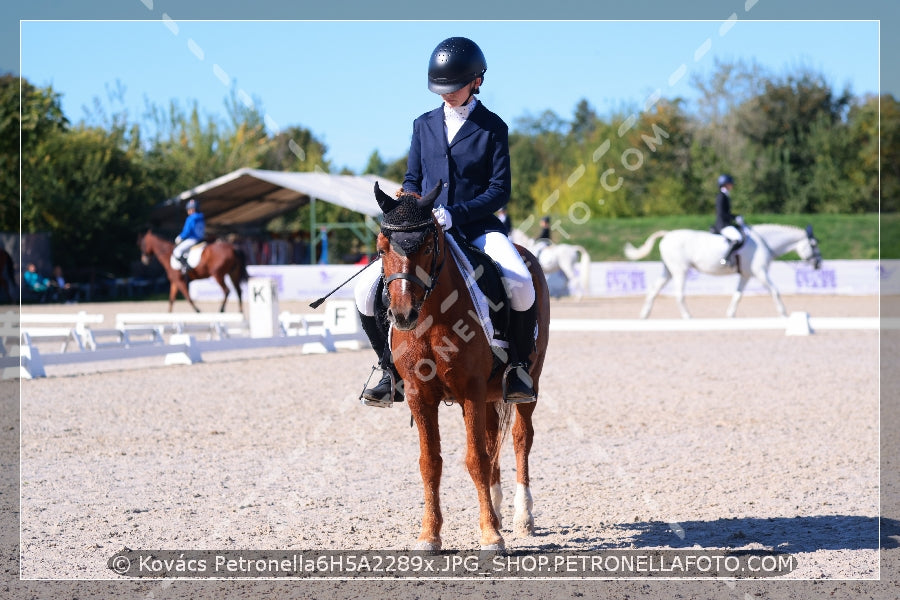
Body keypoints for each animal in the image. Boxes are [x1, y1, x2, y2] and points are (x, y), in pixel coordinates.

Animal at [370, 183, 548, 552]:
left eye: (426, 246)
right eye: (381, 249)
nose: (402, 315)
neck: (432, 317)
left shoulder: (471, 391)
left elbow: (476, 459)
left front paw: (491, 536)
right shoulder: (419, 395)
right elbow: (430, 463)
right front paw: (429, 535)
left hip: (529, 381)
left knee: (520, 437)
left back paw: (522, 516)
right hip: (490, 394)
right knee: (493, 438)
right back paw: (496, 507)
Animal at [624, 224, 824, 318]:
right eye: (814, 245)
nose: (819, 264)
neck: (764, 242)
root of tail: (667, 234)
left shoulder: (746, 275)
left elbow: (738, 295)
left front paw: (730, 315)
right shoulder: (760, 272)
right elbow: (775, 291)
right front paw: (783, 313)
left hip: (669, 270)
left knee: (653, 290)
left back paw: (644, 315)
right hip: (680, 270)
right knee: (679, 294)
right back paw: (688, 316)